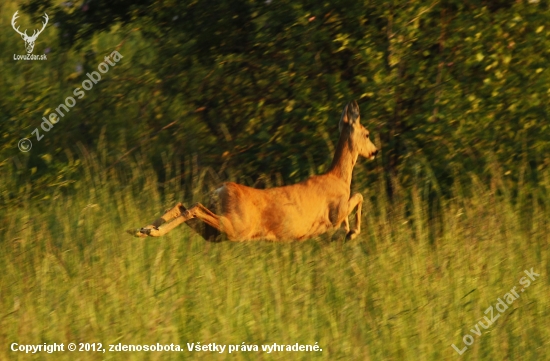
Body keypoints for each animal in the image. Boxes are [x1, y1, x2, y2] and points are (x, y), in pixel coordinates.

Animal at [129, 100, 380, 240]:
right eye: (367, 133)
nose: (375, 151)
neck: (339, 177)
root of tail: (221, 189)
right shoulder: (335, 211)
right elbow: (359, 196)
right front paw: (352, 232)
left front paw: (347, 232)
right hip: (236, 226)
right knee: (194, 208)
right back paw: (150, 231)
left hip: (216, 233)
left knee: (183, 206)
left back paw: (143, 229)